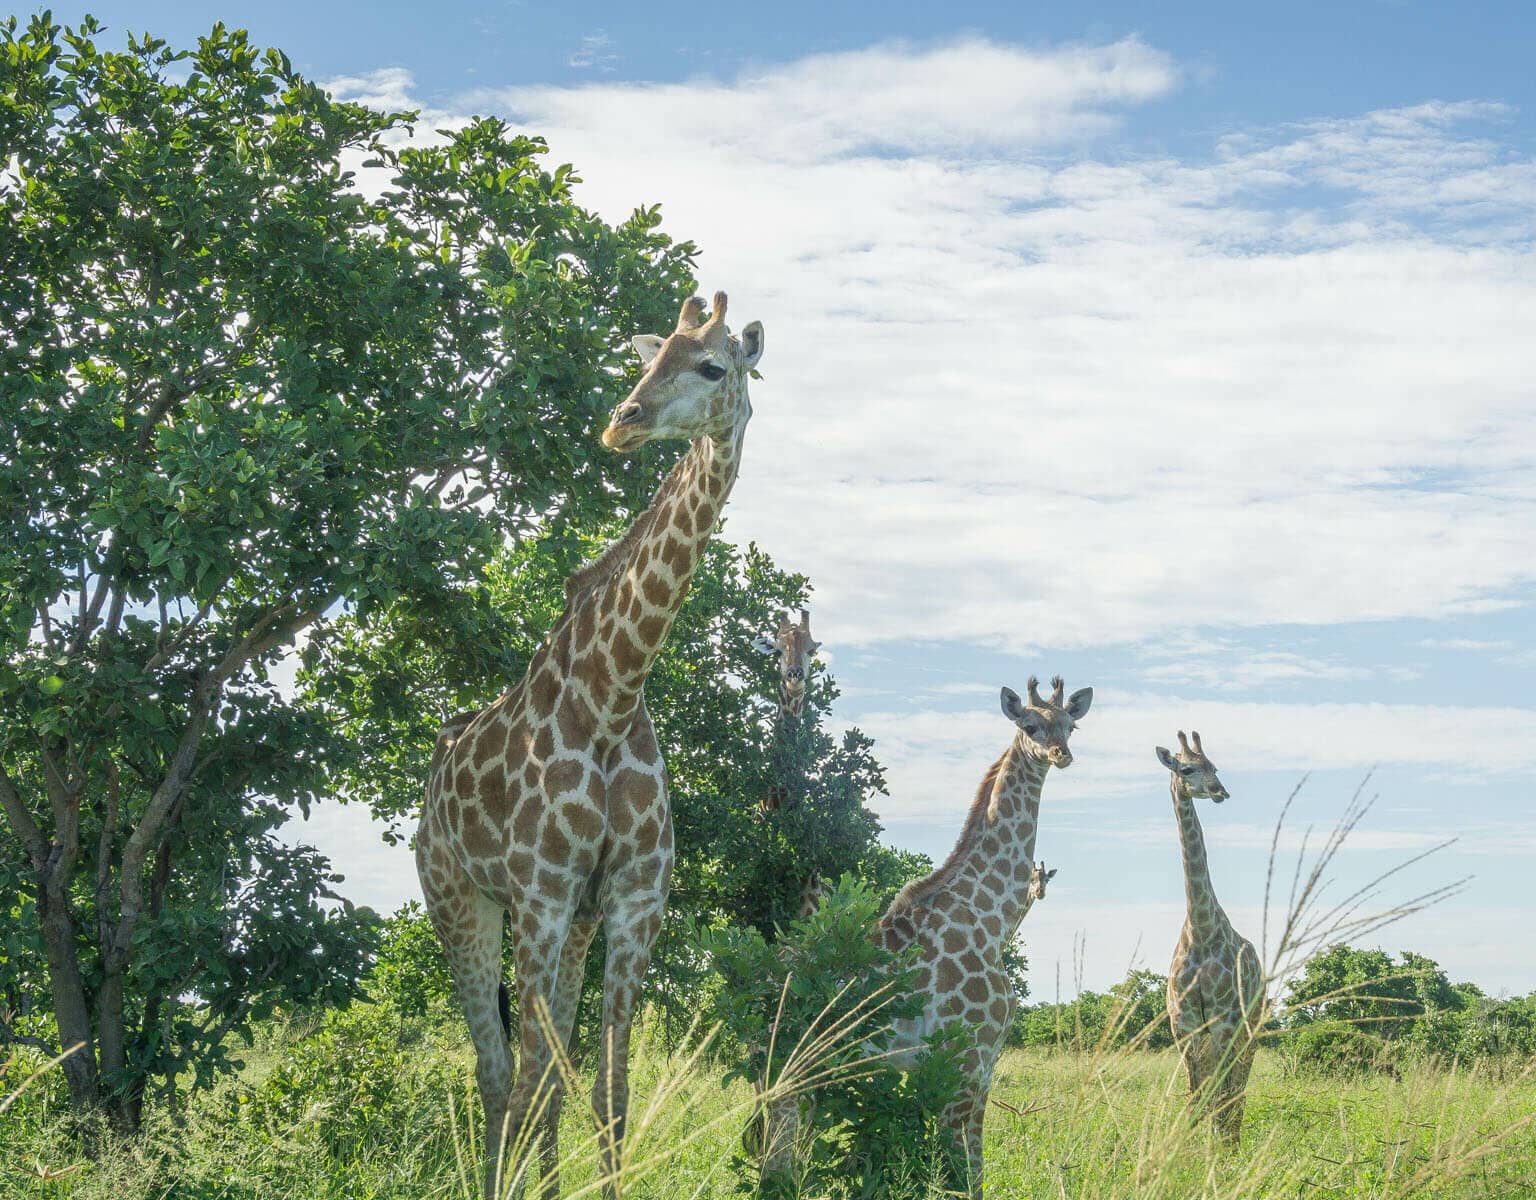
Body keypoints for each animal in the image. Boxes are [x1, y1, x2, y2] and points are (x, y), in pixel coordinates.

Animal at [414, 291, 761, 1198]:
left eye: (712, 365)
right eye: (648, 359)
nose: (622, 420)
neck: (613, 693)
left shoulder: (632, 902)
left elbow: (607, 1089)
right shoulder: (538, 894)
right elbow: (531, 1074)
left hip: (570, 923)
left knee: (541, 1075)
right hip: (460, 901)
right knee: (498, 1072)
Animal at [866, 669, 1093, 1192]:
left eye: (1071, 725)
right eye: (1030, 725)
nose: (1061, 755)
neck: (989, 920)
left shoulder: (986, 1062)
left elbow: (974, 1165)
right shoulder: (963, 1055)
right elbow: (959, 1171)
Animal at [1155, 725, 1265, 1137]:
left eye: (1213, 766)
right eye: (1186, 769)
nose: (1220, 790)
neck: (1200, 930)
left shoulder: (1224, 1022)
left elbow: (1218, 1101)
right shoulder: (1185, 1027)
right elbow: (1194, 1101)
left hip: (1250, 1029)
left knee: (1235, 1095)